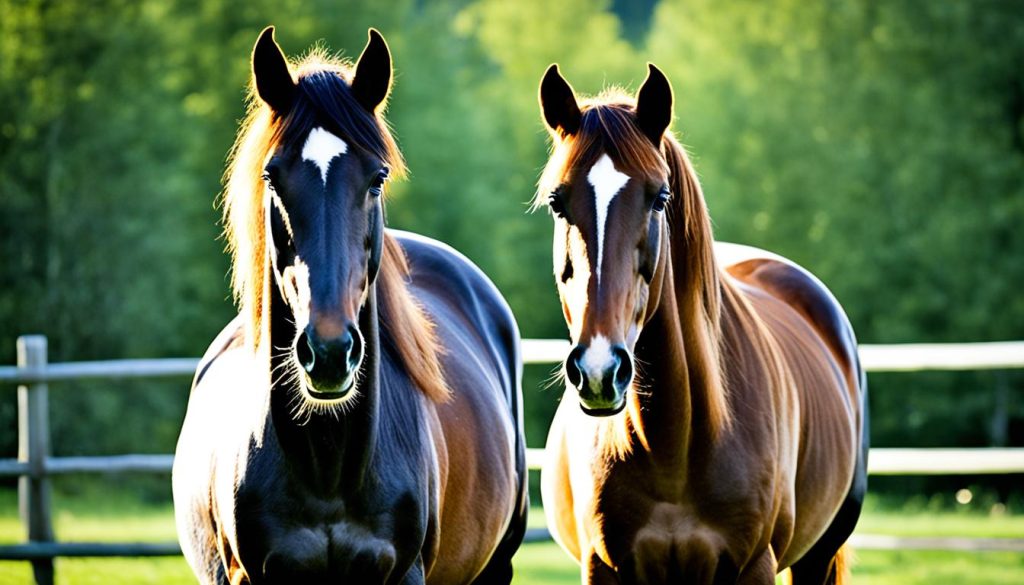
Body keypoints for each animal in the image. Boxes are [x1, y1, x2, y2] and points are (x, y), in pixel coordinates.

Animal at [535, 63, 868, 585]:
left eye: (659, 197)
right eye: (556, 201)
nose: (599, 370)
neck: (675, 448)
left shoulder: (755, 567)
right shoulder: (601, 568)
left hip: (818, 552)